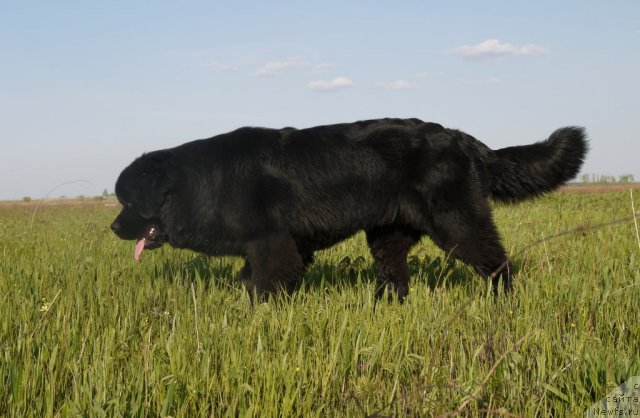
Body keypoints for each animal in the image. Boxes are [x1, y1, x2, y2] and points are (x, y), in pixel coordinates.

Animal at [109, 117, 584, 300]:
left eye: (128, 201)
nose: (113, 227)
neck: (197, 183)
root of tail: (465, 139)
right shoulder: (285, 245)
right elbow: (253, 278)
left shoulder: (271, 242)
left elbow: (265, 282)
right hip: (388, 232)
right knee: (395, 274)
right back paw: (385, 306)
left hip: (456, 222)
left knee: (496, 259)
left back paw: (502, 299)